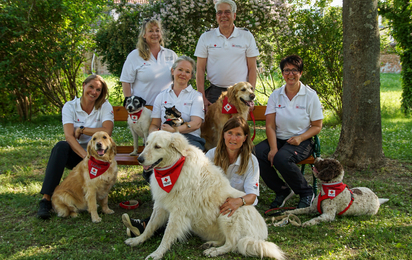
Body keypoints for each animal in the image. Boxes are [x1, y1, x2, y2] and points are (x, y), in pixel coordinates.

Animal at [125, 131, 284, 260]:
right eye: (147, 144)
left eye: (157, 147)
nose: (139, 159)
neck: (175, 168)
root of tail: (262, 234)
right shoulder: (160, 206)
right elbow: (150, 226)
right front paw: (137, 240)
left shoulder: (178, 213)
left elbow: (167, 235)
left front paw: (157, 254)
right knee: (226, 240)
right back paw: (211, 244)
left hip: (228, 214)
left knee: (233, 244)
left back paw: (214, 251)